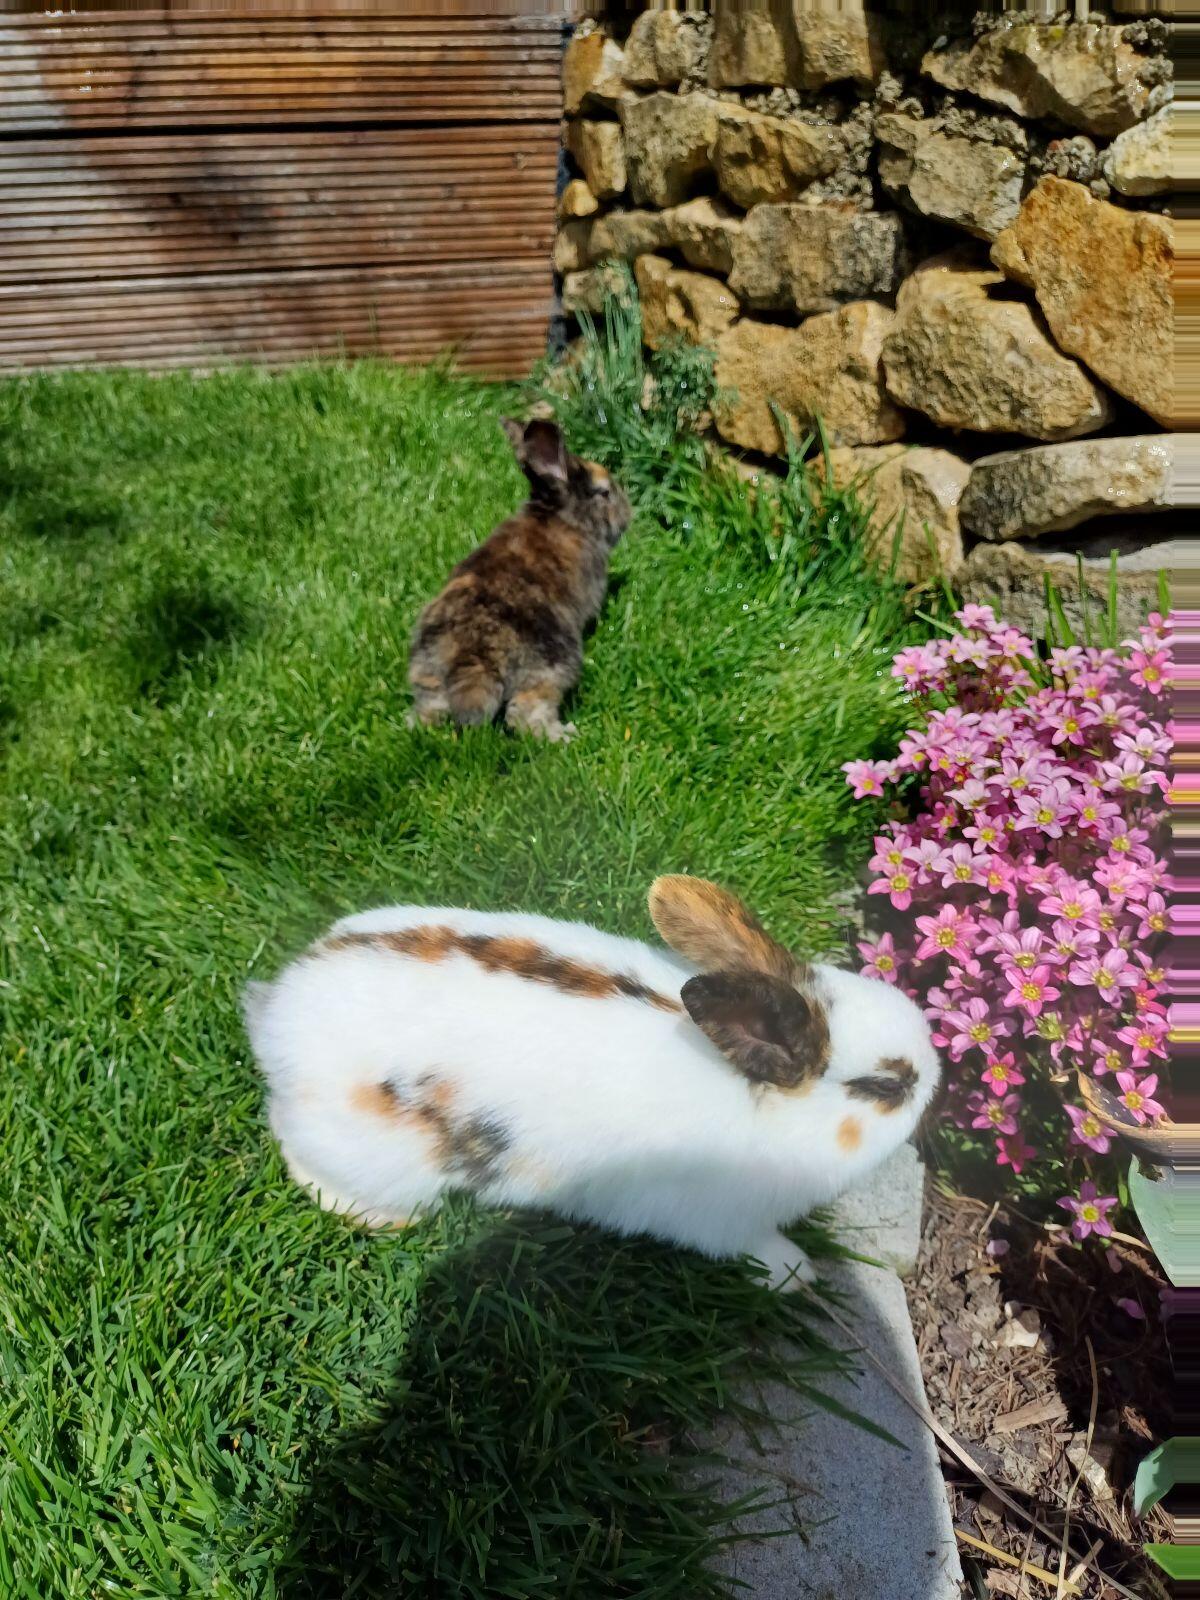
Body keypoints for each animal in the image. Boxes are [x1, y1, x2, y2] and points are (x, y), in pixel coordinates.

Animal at [244, 875, 941, 1289]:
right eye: (885, 1087)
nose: (934, 1070)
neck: (759, 1102)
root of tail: (277, 1014)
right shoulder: (723, 1222)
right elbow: (756, 1247)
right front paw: (797, 1273)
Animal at [406, 417, 632, 743]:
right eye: (604, 492)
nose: (628, 515)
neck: (563, 518)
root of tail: (473, 657)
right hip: (549, 669)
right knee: (524, 716)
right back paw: (566, 735)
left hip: (428, 672)